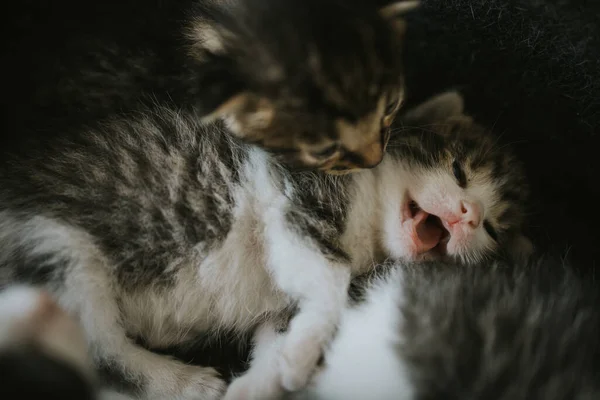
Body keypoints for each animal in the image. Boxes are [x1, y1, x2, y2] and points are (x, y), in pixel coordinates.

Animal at [0, 91, 524, 400]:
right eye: (458, 170)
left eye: (493, 229)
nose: (468, 214)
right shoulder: (293, 193)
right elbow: (332, 279)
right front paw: (298, 359)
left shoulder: (286, 296)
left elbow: (281, 329)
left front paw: (271, 372)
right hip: (54, 243)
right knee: (100, 349)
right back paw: (179, 380)